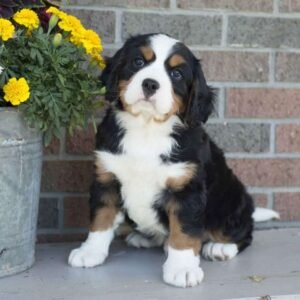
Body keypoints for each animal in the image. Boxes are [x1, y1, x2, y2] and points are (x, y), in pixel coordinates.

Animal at [68, 32, 278, 288]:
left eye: (176, 74)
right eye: (138, 62)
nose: (150, 84)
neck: (146, 128)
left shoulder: (186, 189)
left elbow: (184, 233)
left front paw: (182, 269)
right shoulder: (107, 178)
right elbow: (101, 218)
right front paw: (89, 252)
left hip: (231, 199)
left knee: (243, 233)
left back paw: (220, 247)